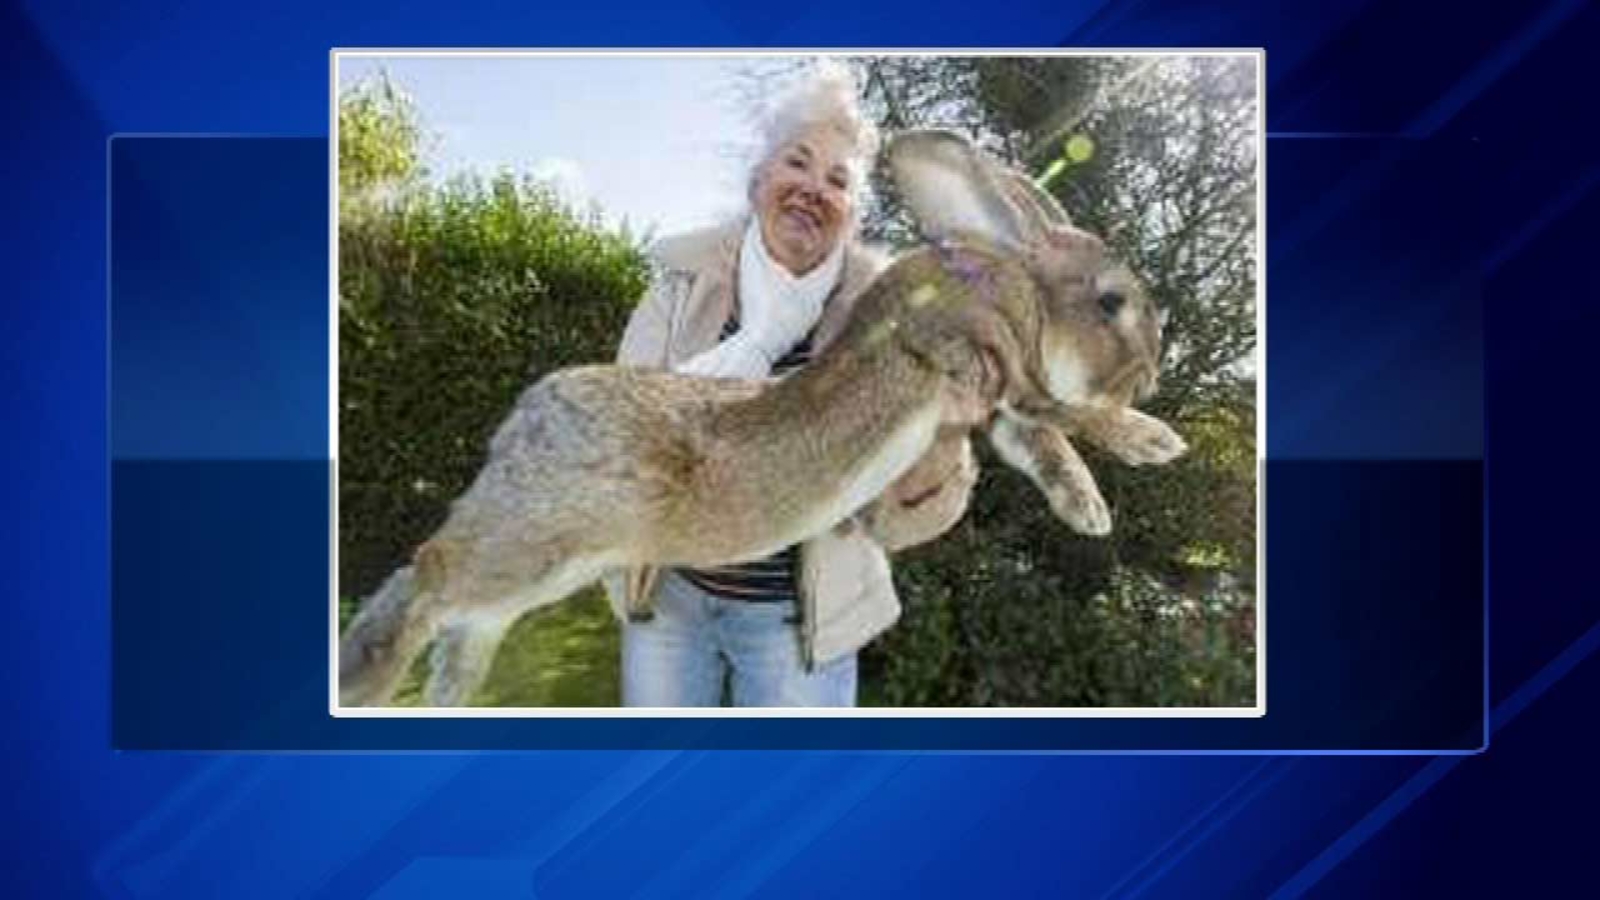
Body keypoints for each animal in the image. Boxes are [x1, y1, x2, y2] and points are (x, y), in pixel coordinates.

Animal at [338, 129, 1185, 707]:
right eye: (1113, 301)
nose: (1153, 371)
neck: (1015, 289)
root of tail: (517, 427)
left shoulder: (1001, 405)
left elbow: (1044, 441)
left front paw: (1090, 510)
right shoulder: (984, 359)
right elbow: (1069, 411)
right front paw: (1154, 443)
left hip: (544, 569)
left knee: (463, 615)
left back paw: (448, 688)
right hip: (535, 541)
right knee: (427, 575)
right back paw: (369, 675)